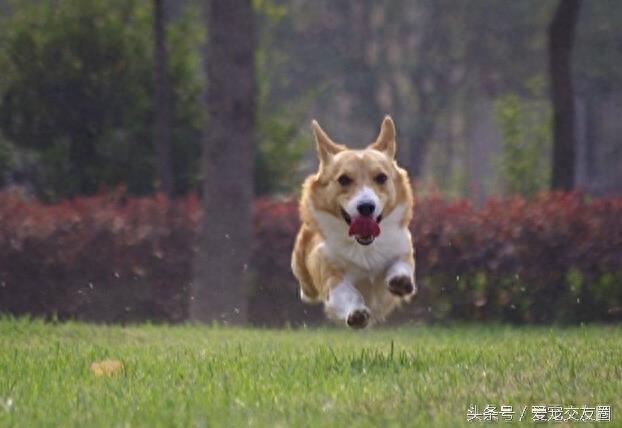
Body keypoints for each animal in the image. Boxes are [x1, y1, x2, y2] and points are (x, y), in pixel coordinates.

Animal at [294, 115, 420, 330]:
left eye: (381, 177)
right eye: (343, 179)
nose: (366, 206)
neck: (364, 247)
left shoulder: (403, 249)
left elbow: (400, 265)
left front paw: (400, 281)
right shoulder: (331, 274)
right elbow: (346, 293)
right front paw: (357, 313)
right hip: (303, 271)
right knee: (308, 290)